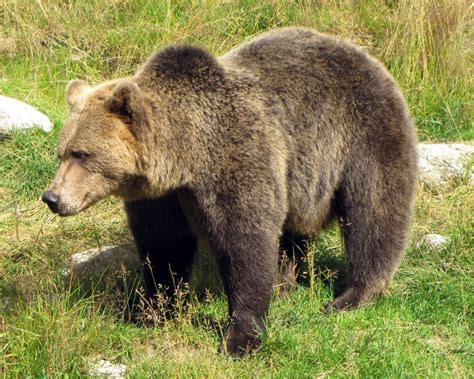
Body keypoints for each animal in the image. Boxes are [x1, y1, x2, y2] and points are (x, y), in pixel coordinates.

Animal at [42, 28, 416, 358]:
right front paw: (153, 311)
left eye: (81, 153)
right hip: (300, 175)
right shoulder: (162, 199)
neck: (185, 158)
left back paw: (353, 295)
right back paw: (284, 284)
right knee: (294, 231)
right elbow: (163, 247)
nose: (52, 198)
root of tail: (365, 55)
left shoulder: (236, 160)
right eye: (61, 152)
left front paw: (240, 338)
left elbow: (244, 243)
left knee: (374, 212)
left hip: (363, 134)